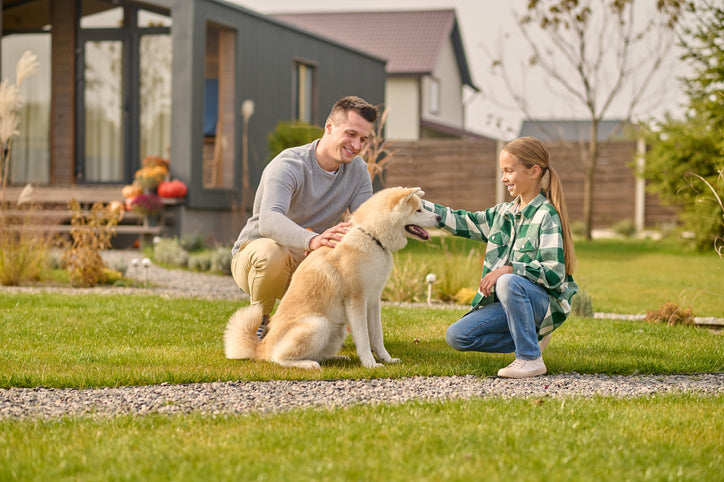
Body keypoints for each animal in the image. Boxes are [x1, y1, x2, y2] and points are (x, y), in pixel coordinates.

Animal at [225, 187, 442, 370]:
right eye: (419, 210)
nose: (439, 217)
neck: (371, 236)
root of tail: (261, 347)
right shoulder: (356, 301)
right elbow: (364, 338)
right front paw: (370, 364)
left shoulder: (373, 301)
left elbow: (377, 336)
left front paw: (386, 359)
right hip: (317, 325)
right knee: (278, 358)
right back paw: (308, 364)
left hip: (337, 330)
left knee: (318, 354)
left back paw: (336, 357)